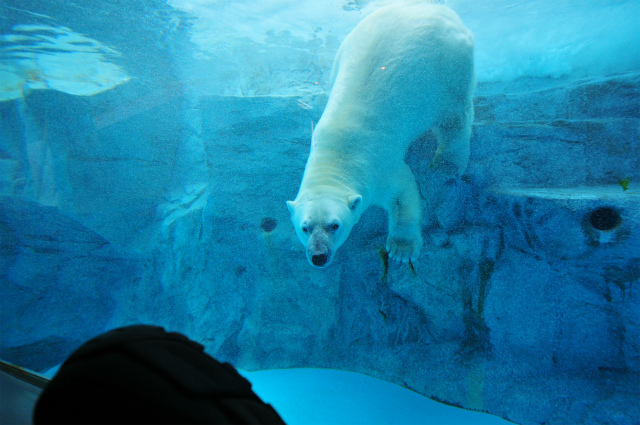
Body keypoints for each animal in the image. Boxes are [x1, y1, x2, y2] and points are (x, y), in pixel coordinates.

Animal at [288, 1, 472, 266]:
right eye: (305, 227)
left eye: (335, 225)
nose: (318, 256)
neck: (337, 154)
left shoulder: (380, 170)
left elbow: (403, 194)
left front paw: (401, 250)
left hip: (449, 63)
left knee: (453, 117)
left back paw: (447, 164)